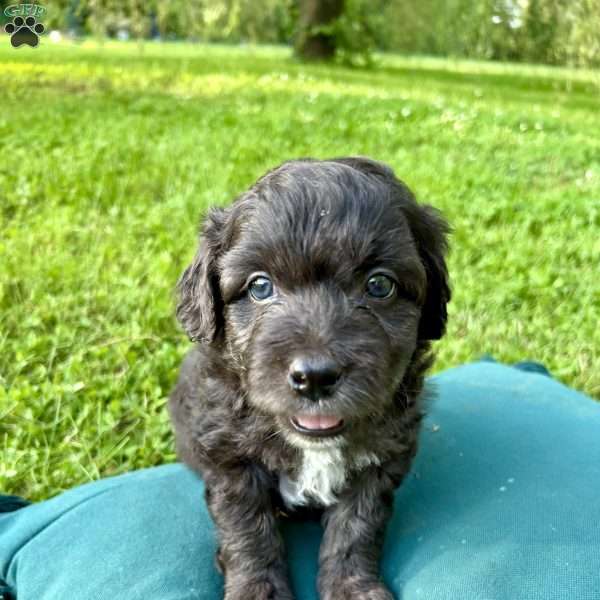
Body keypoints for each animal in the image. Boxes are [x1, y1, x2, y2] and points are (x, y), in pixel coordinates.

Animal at [169, 157, 450, 596]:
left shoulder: (378, 462)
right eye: (260, 287)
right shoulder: (231, 461)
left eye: (379, 285)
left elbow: (356, 529)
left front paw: (353, 588)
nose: (315, 377)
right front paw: (258, 591)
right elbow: (248, 533)